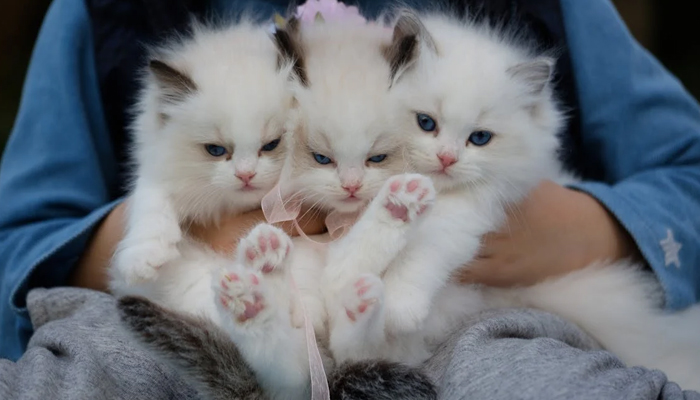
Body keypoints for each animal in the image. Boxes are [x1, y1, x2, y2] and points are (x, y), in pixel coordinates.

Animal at [108, 21, 296, 320]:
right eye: (216, 150)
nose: (245, 175)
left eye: (271, 145)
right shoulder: (157, 172)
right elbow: (151, 205)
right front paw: (143, 260)